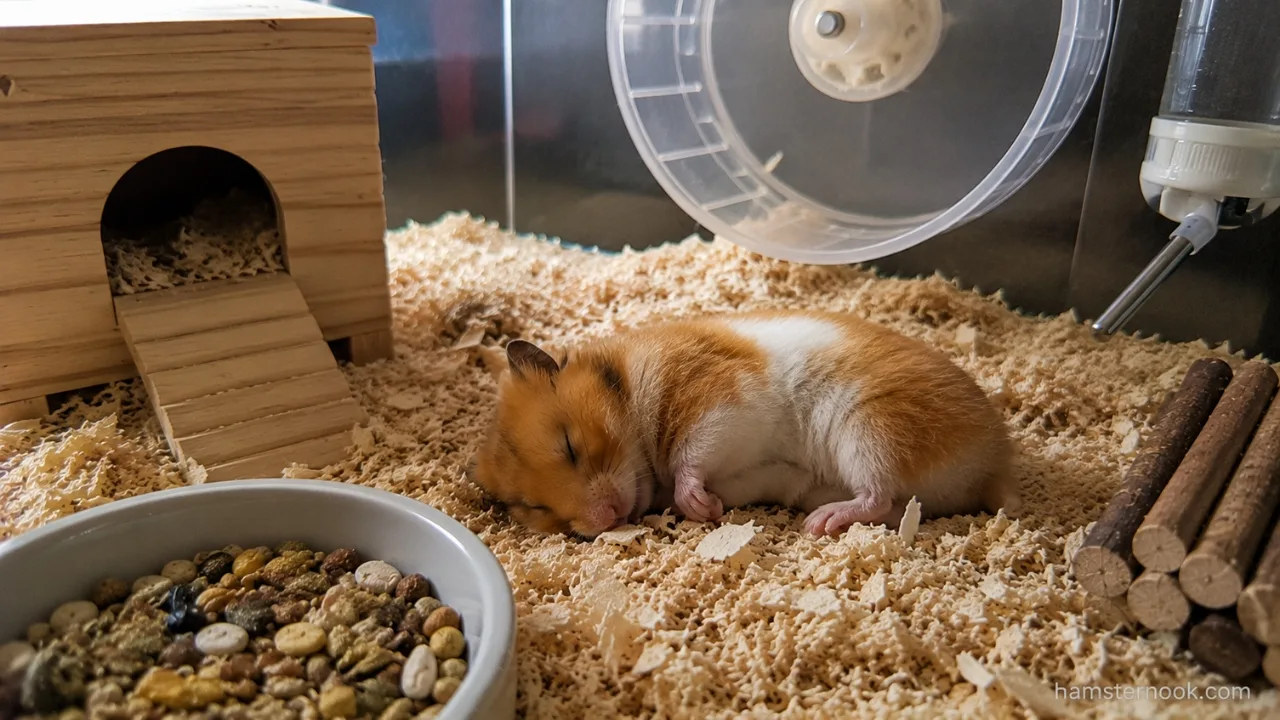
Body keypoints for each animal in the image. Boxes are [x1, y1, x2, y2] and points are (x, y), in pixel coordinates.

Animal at [471, 309, 1019, 538]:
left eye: (569, 446)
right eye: (536, 508)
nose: (606, 518)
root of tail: (996, 463)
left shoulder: (718, 396)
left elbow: (692, 457)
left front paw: (699, 505)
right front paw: (711, 510)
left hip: (872, 428)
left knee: (878, 495)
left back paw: (822, 524)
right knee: (893, 506)